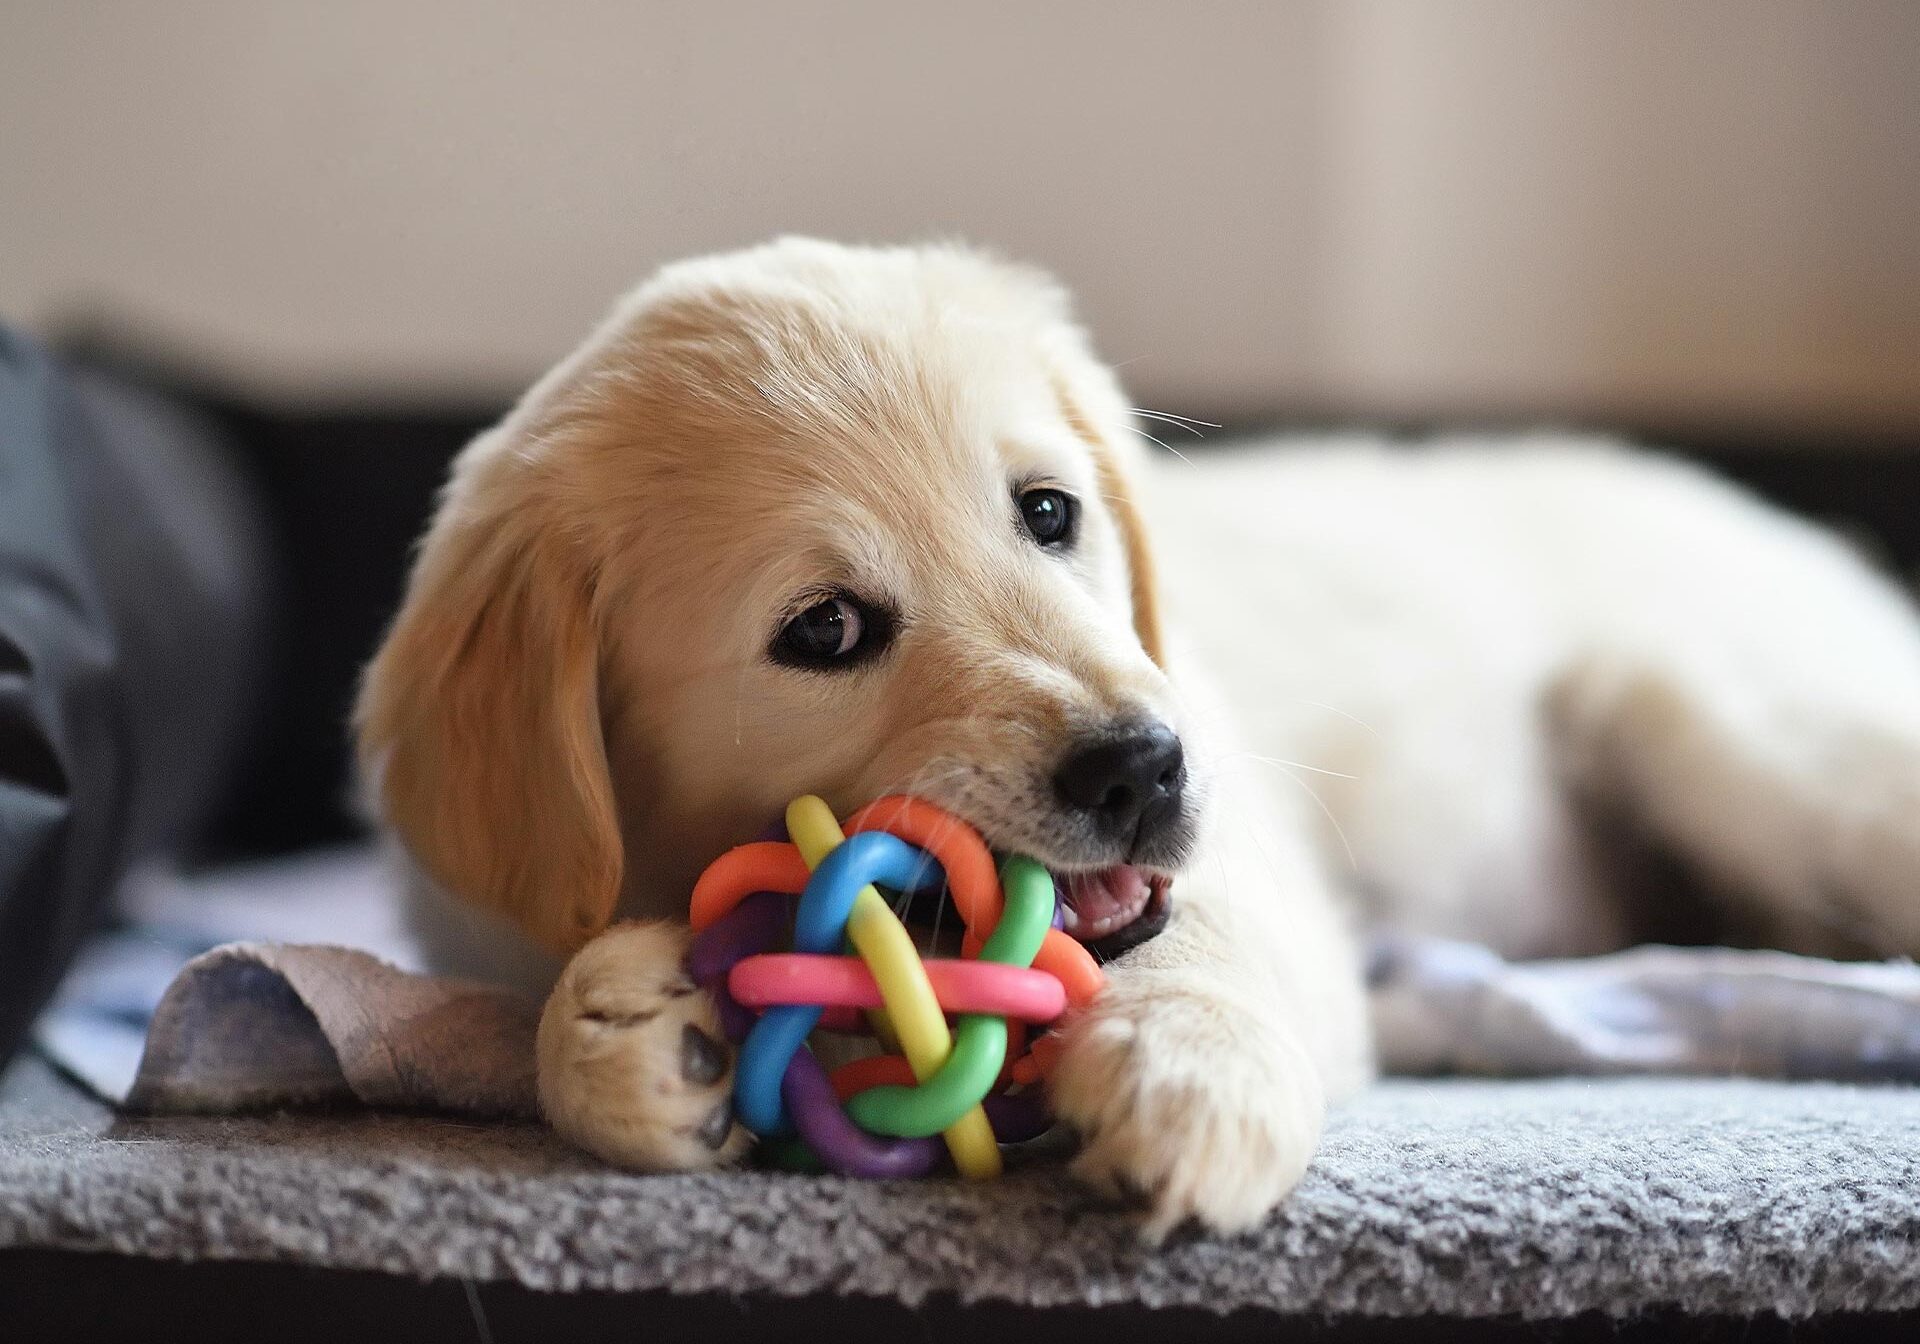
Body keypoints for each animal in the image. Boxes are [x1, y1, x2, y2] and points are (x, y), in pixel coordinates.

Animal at [360, 236, 1920, 1236]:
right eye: (826, 630)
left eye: (1049, 512)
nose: (1141, 769)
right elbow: (541, 1011)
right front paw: (627, 1028)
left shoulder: (1254, 846)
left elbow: (1202, 938)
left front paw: (1189, 1078)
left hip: (1731, 736)